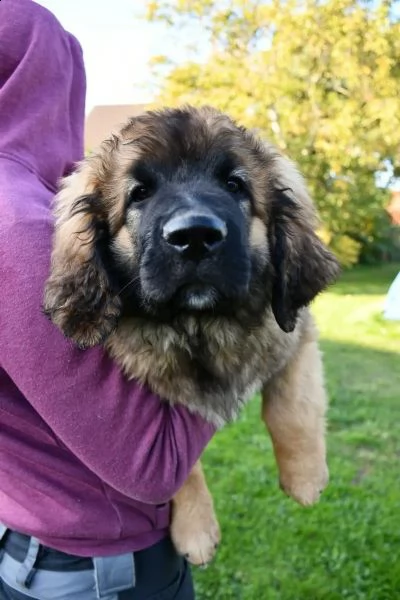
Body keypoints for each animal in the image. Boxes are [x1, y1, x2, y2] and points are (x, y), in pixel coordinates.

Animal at [43, 104, 340, 568]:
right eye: (139, 193)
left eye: (234, 184)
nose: (195, 236)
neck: (200, 325)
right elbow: (181, 472)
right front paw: (196, 530)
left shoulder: (293, 332)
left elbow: (291, 404)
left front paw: (305, 478)